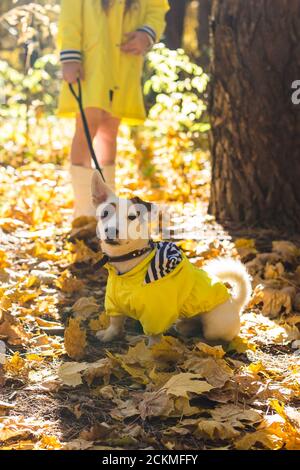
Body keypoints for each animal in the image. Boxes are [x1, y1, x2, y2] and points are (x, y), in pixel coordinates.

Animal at [91, 172, 251, 346]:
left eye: (132, 217)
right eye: (104, 214)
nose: (111, 230)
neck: (128, 266)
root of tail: (235, 303)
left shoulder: (156, 313)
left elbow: (154, 337)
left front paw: (152, 350)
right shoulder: (114, 303)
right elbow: (115, 322)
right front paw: (109, 335)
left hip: (215, 326)